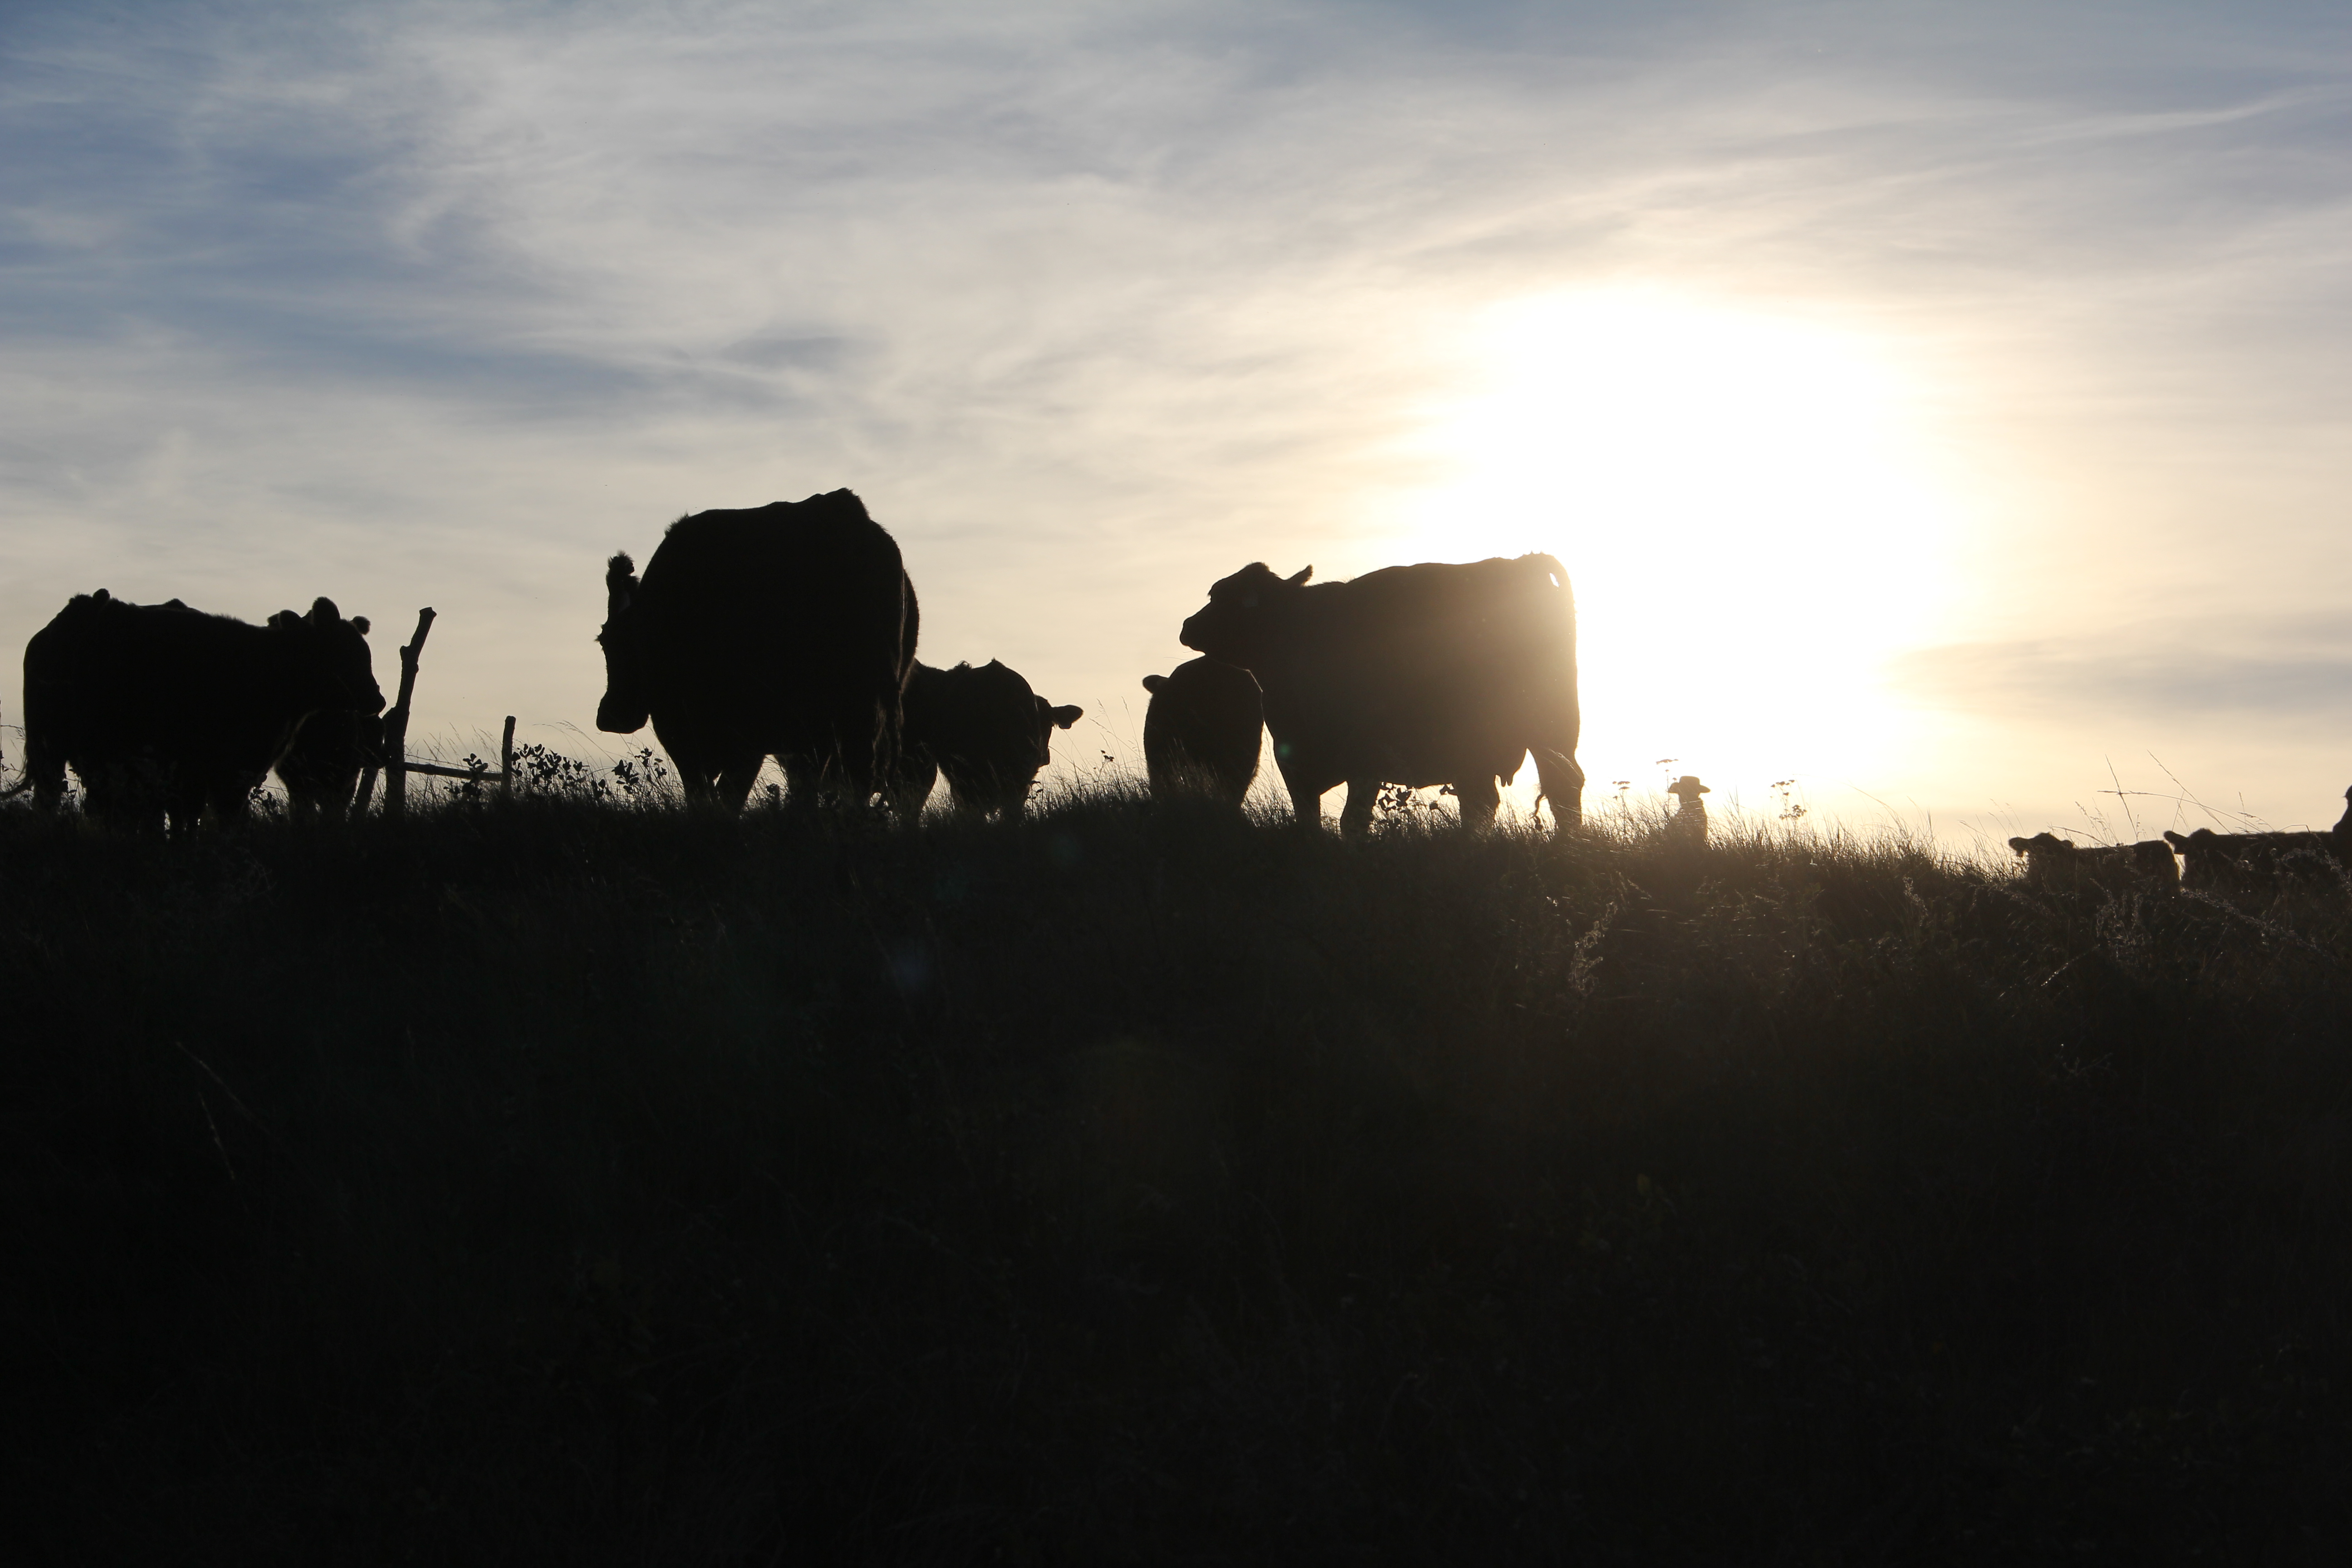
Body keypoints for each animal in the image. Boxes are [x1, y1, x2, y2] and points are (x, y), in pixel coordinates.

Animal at [1177, 555, 1582, 835]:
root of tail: (1522, 561)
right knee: (1489, 801)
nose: (1187, 626)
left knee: (1561, 790)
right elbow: (1309, 821)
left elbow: (1352, 821)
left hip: (1547, 730)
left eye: (1220, 597)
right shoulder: (1295, 763)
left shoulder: (1364, 758)